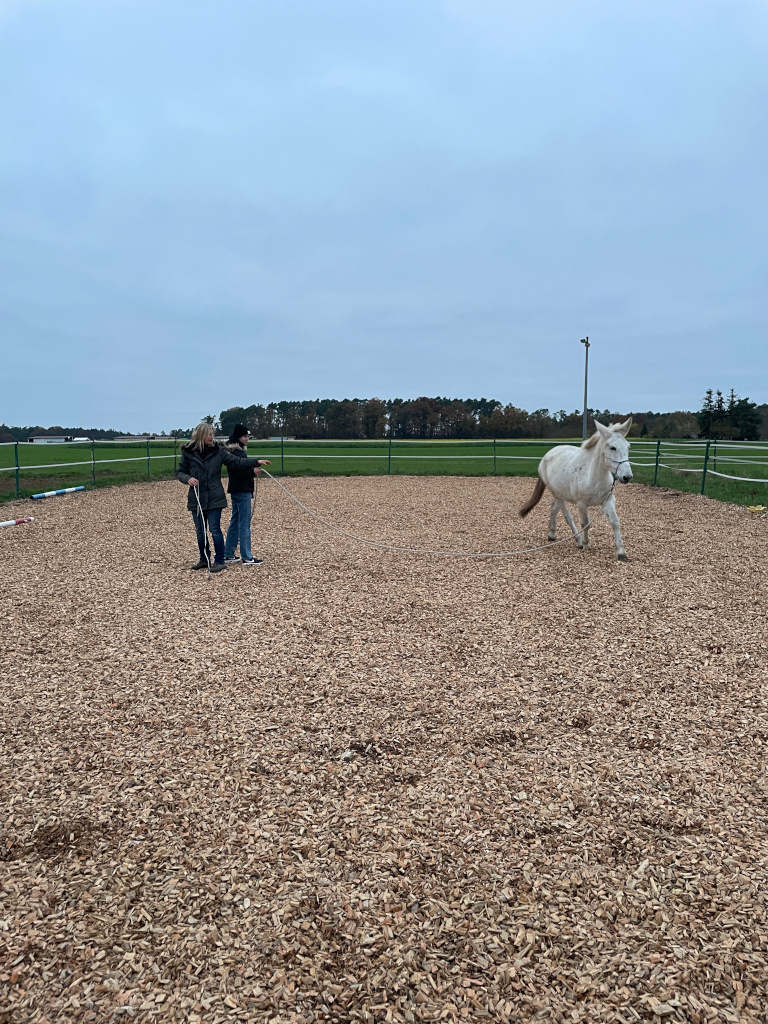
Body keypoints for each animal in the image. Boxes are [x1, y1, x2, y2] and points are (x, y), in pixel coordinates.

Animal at [520, 415, 634, 561]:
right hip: (556, 494)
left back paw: (552, 534)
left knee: (554, 509)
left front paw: (621, 552)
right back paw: (578, 540)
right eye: (612, 447)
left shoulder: (608, 501)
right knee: (567, 517)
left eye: (628, 446)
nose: (627, 476)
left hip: (560, 494)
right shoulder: (582, 504)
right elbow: (585, 523)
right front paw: (586, 544)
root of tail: (547, 455)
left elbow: (615, 522)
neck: (593, 477)